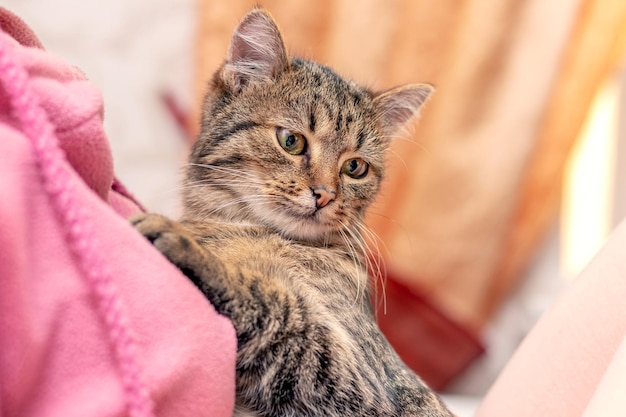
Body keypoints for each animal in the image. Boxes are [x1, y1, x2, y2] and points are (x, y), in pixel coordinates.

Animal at [134, 7, 450, 416]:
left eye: (355, 167)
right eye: (291, 141)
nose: (325, 195)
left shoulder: (360, 385)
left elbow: (276, 309)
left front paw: (192, 250)